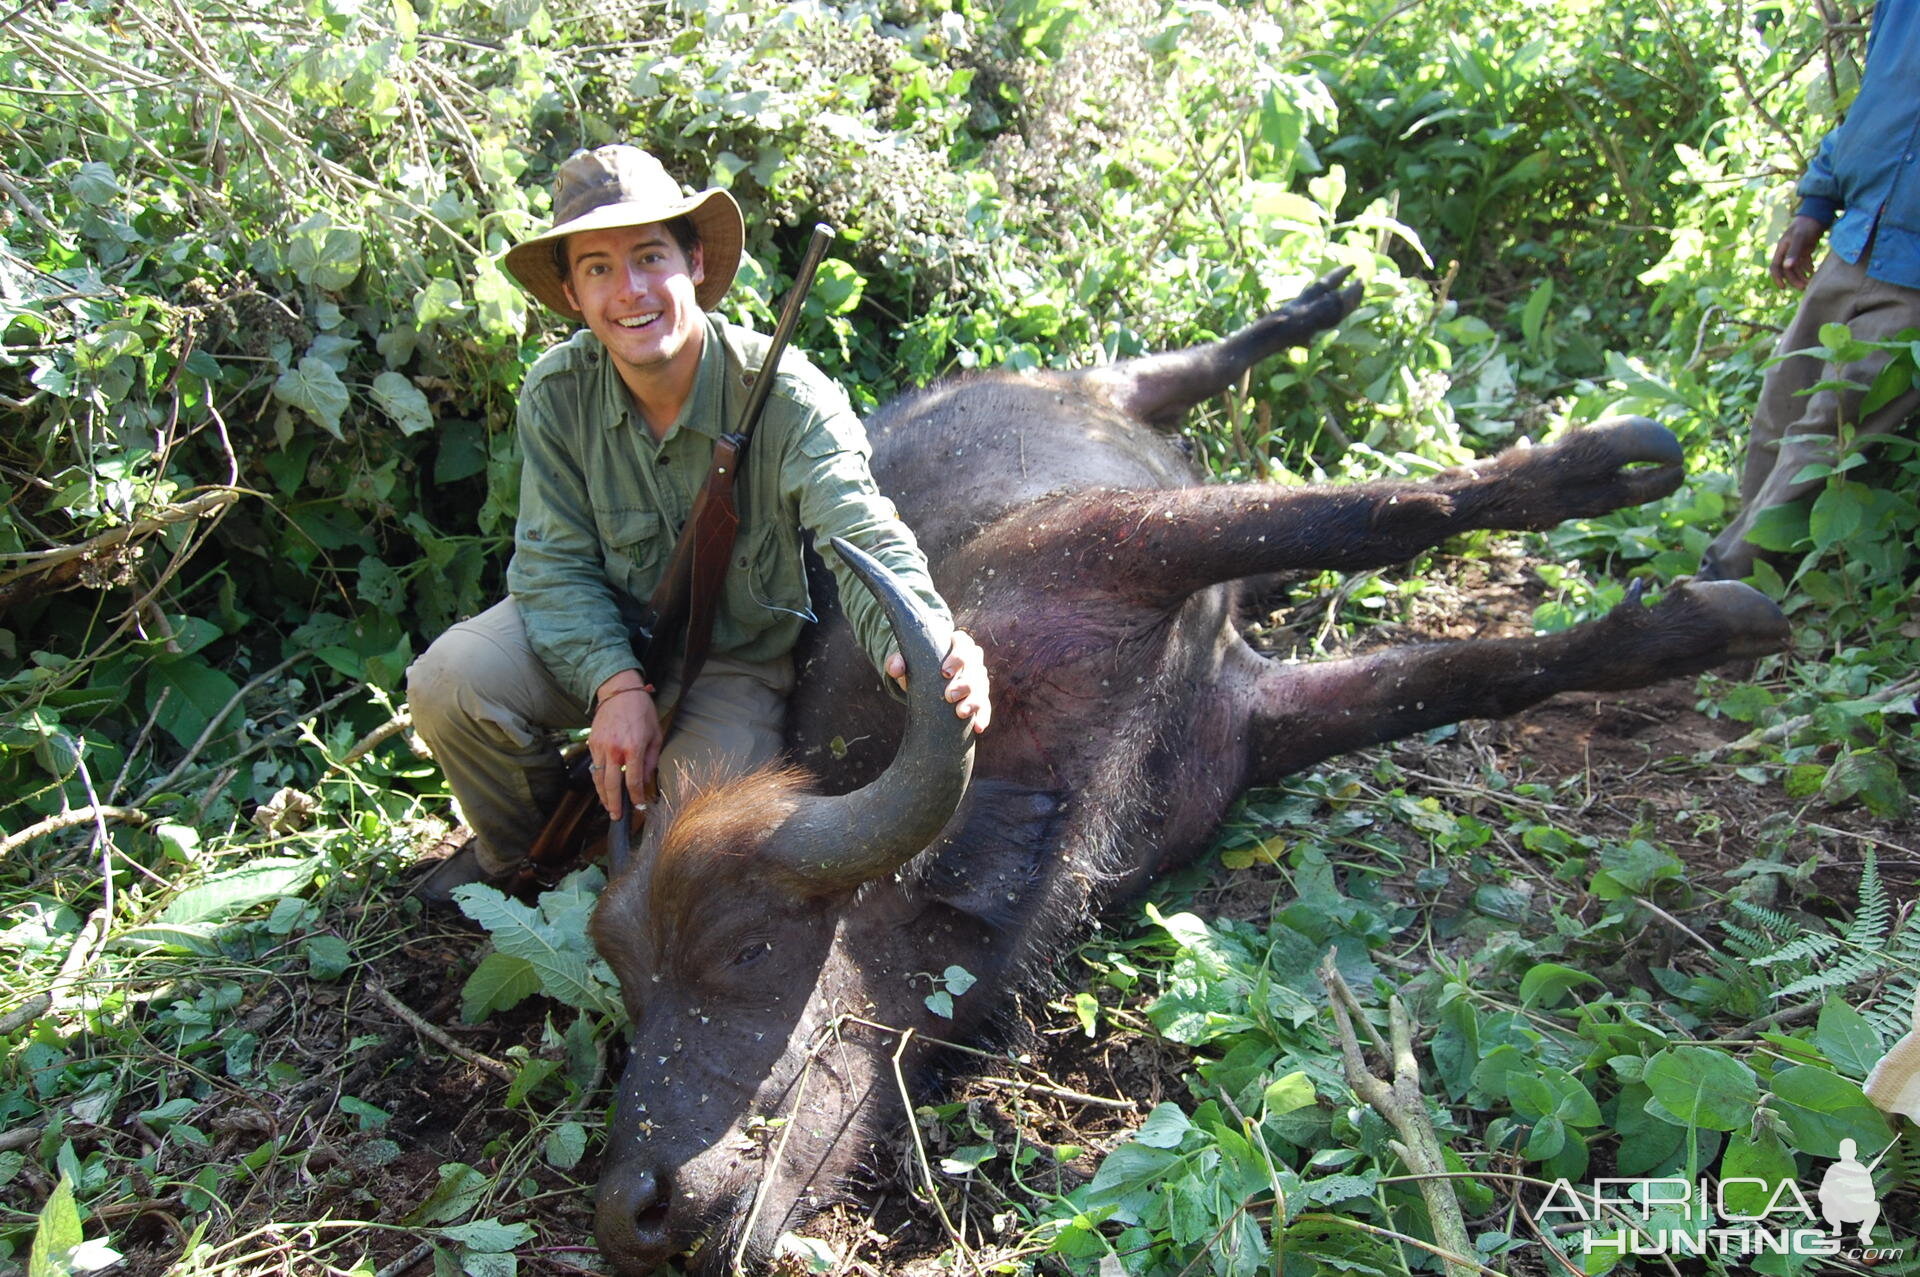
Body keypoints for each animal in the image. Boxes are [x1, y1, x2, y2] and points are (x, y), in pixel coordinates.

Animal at [579, 266, 1781, 1267]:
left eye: (745, 947)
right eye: (633, 994)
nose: (635, 1210)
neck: (1031, 776)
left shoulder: (1128, 539)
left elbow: (1383, 513)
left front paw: (1612, 470)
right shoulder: (1253, 725)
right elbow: (1455, 673)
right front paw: (1687, 627)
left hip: (1103, 391)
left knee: (1192, 370)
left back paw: (1321, 305)